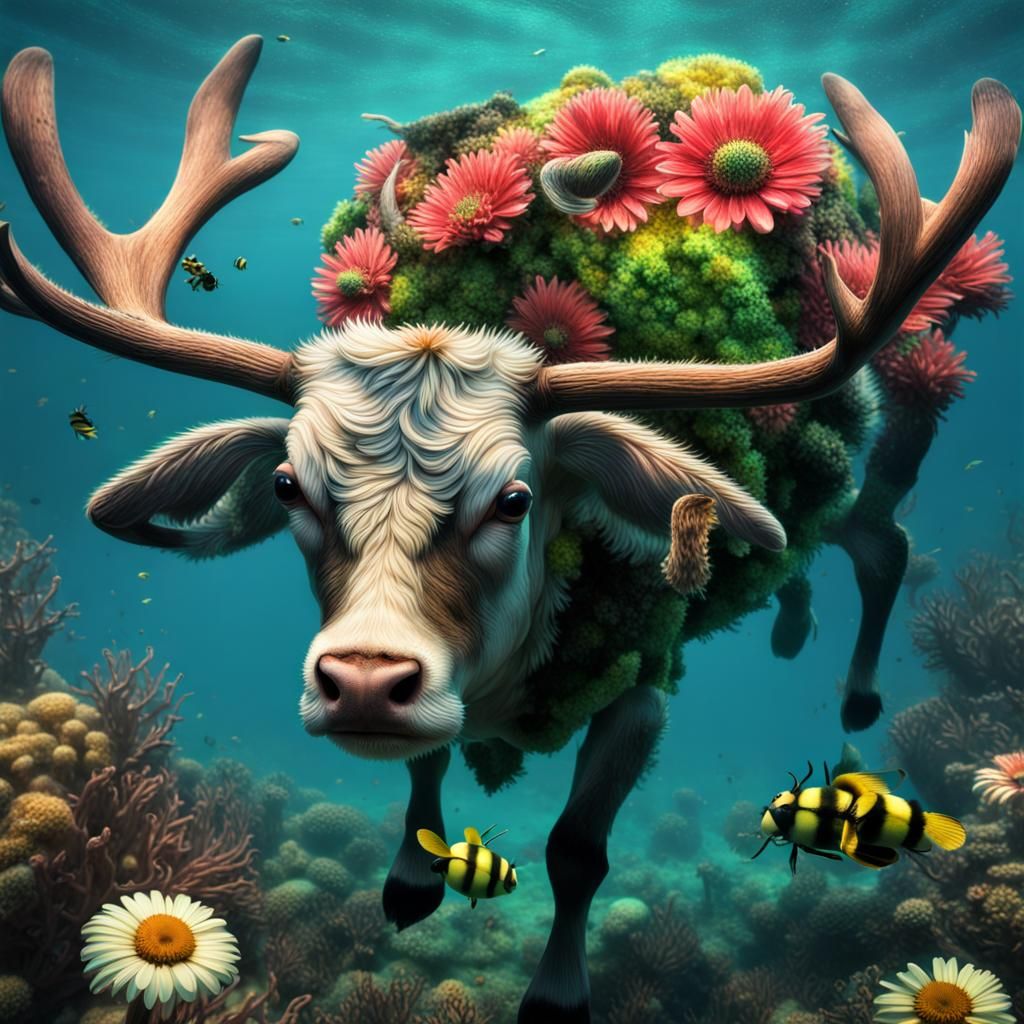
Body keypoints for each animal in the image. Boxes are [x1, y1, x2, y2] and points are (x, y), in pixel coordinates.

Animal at [1, 36, 1018, 1023]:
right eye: (289, 487)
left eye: (516, 499)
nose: (360, 681)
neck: (501, 674)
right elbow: (422, 769)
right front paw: (411, 880)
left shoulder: (641, 694)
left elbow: (576, 852)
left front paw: (557, 994)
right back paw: (789, 627)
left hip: (839, 487)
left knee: (881, 540)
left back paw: (856, 704)